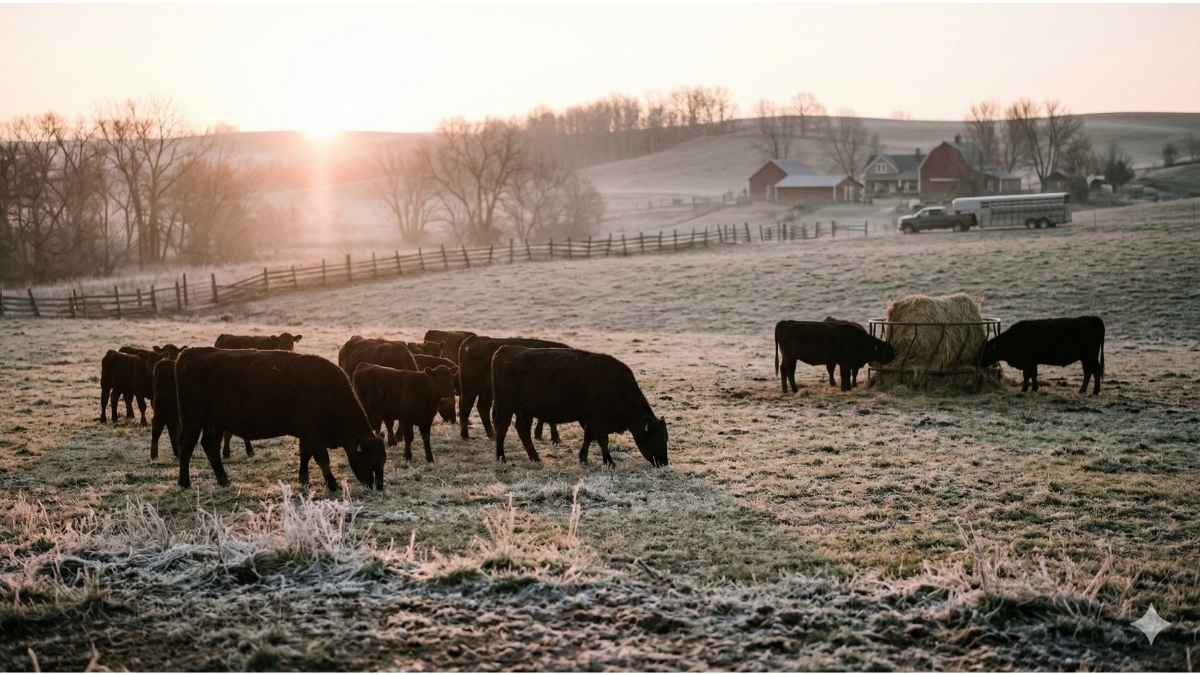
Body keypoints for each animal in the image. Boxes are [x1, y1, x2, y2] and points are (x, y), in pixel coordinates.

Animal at [174, 348, 386, 491]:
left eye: (382, 461)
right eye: (370, 460)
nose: (377, 486)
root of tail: (188, 353)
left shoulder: (306, 435)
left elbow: (305, 455)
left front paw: (304, 479)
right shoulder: (314, 435)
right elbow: (322, 459)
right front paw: (332, 484)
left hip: (214, 424)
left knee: (210, 447)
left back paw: (223, 480)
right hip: (193, 421)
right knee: (187, 448)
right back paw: (184, 482)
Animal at [491, 346, 668, 467]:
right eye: (656, 437)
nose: (664, 463)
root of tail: (505, 350)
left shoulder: (589, 420)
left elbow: (588, 437)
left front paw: (583, 458)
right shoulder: (598, 420)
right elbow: (603, 440)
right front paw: (609, 462)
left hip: (524, 411)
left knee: (522, 430)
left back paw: (534, 457)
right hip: (505, 407)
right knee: (503, 429)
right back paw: (501, 457)